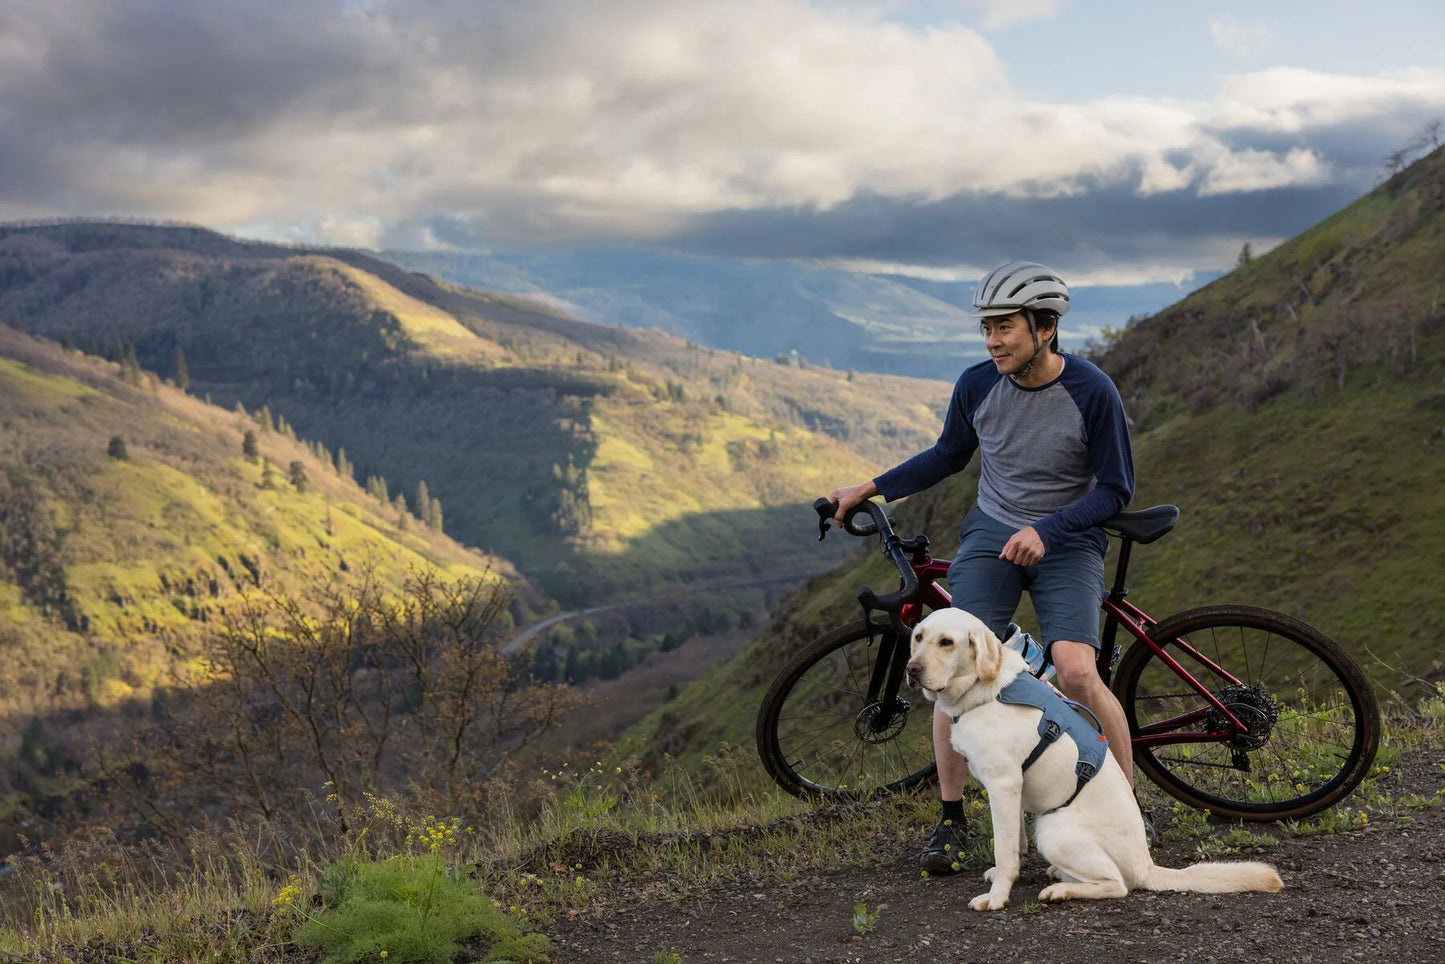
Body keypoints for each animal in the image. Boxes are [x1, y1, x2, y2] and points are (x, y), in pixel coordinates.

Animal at [901, 609, 1288, 913]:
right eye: (918, 637)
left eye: (947, 642)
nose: (912, 669)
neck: (985, 689)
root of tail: (1147, 866)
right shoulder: (1010, 791)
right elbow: (1015, 845)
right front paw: (1002, 879)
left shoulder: (1003, 784)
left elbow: (1005, 850)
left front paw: (997, 897)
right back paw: (1060, 875)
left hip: (1052, 827)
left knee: (1117, 885)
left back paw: (1061, 889)